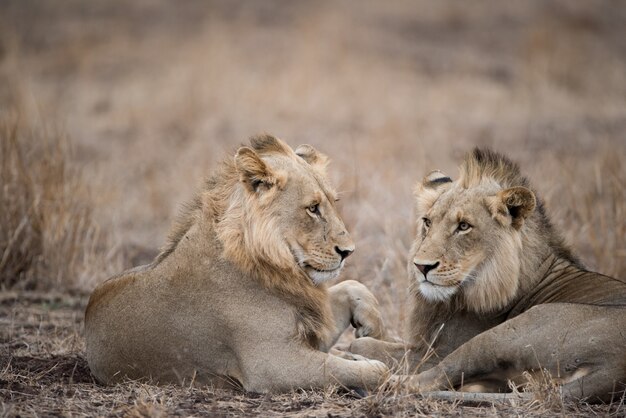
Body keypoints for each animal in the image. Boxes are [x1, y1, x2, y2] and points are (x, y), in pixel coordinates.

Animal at [84, 136, 386, 394]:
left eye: (334, 202)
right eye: (313, 208)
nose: (348, 252)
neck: (278, 265)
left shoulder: (309, 326)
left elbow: (352, 285)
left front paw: (371, 328)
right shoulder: (271, 363)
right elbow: (366, 371)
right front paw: (373, 365)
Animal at [348, 148, 624, 402]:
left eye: (463, 226)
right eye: (427, 222)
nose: (421, 266)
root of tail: (614, 370)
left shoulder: (434, 352)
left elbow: (364, 343)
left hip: (500, 335)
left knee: (427, 378)